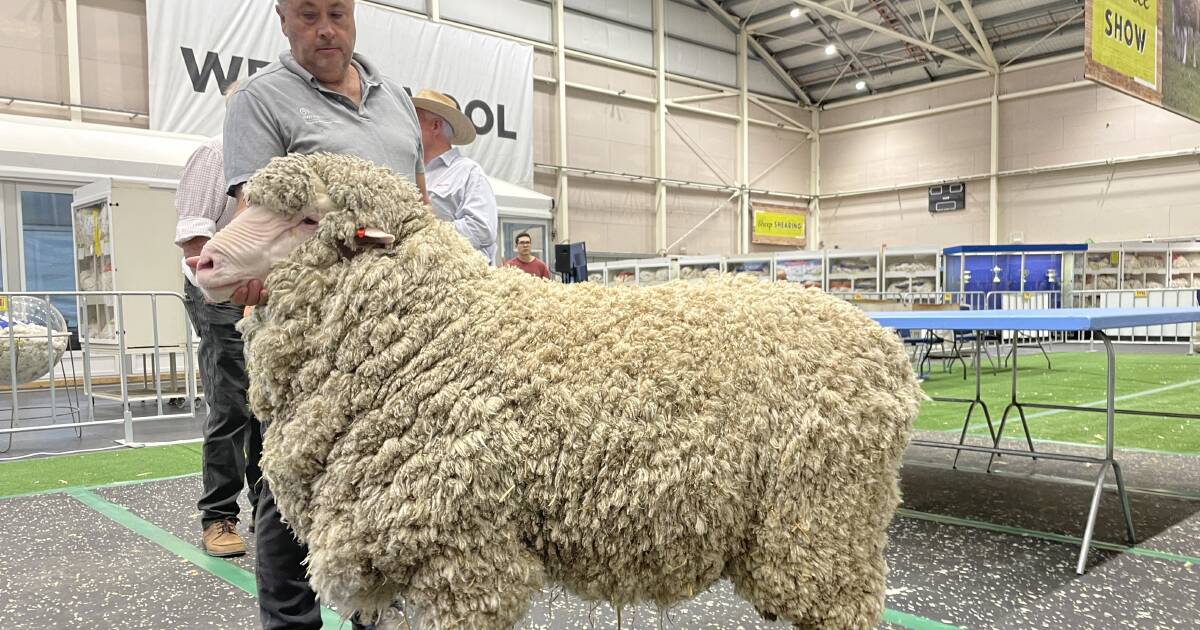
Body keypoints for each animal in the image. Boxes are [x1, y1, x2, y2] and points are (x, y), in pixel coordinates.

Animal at [194, 153, 916, 628]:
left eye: (304, 219)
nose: (202, 260)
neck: (428, 328)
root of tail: (887, 354)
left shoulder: (462, 551)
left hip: (823, 523)